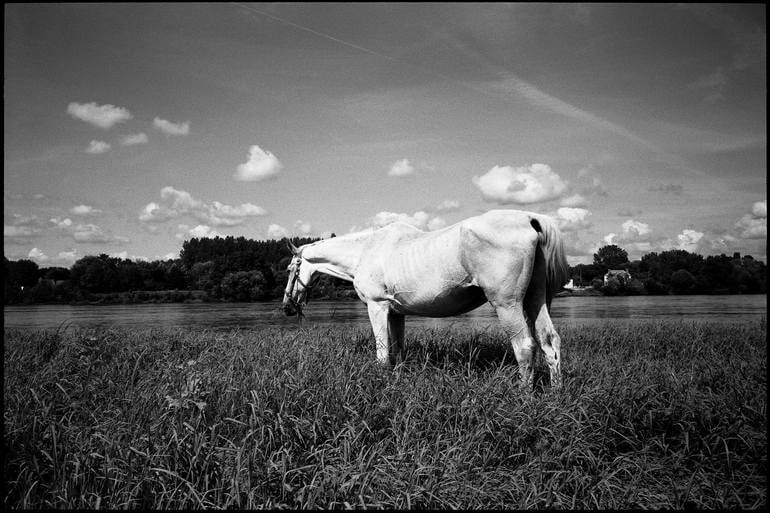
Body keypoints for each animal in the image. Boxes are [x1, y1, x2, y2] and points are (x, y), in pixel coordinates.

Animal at [282, 209, 570, 389]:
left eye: (289, 269)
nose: (286, 307)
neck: (366, 250)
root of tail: (530, 219)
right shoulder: (396, 313)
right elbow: (397, 350)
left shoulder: (377, 307)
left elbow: (382, 354)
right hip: (535, 301)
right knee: (549, 342)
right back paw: (555, 393)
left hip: (507, 305)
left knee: (525, 347)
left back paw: (523, 395)